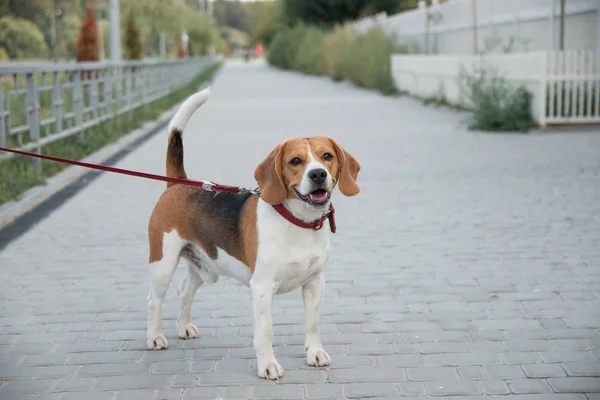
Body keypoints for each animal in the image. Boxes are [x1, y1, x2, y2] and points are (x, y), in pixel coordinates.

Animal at [145, 87, 360, 378]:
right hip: (163, 264)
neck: (297, 223)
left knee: (185, 290)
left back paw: (183, 327)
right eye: (295, 161)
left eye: (327, 156)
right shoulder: (261, 287)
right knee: (154, 300)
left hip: (204, 265)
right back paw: (155, 337)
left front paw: (314, 353)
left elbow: (312, 323)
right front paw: (268, 365)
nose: (318, 174)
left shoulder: (315, 282)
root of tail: (178, 183)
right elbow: (265, 331)